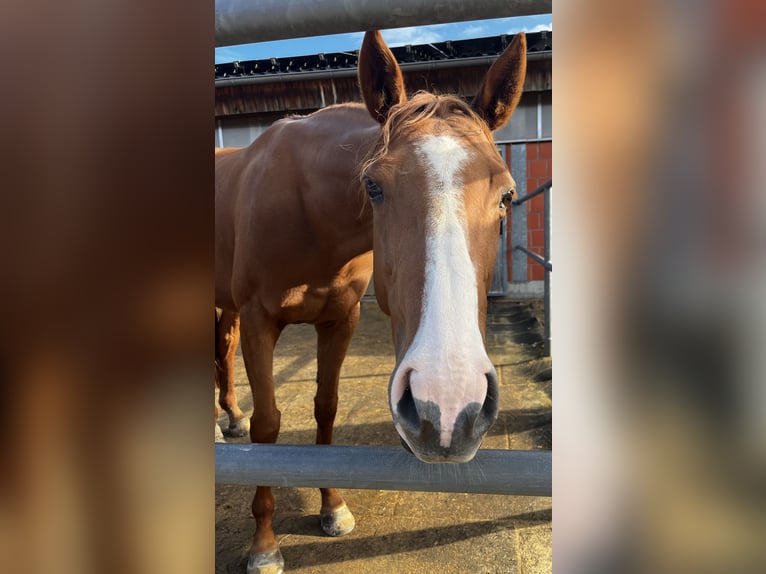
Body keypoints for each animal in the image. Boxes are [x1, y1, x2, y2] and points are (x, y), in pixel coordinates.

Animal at [215, 30, 526, 574]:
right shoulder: (258, 321)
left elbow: (326, 408)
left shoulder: (341, 319)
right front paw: (264, 545)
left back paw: (228, 419)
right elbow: (269, 425)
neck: (306, 205)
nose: (449, 406)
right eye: (373, 185)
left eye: (507, 194)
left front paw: (333, 507)